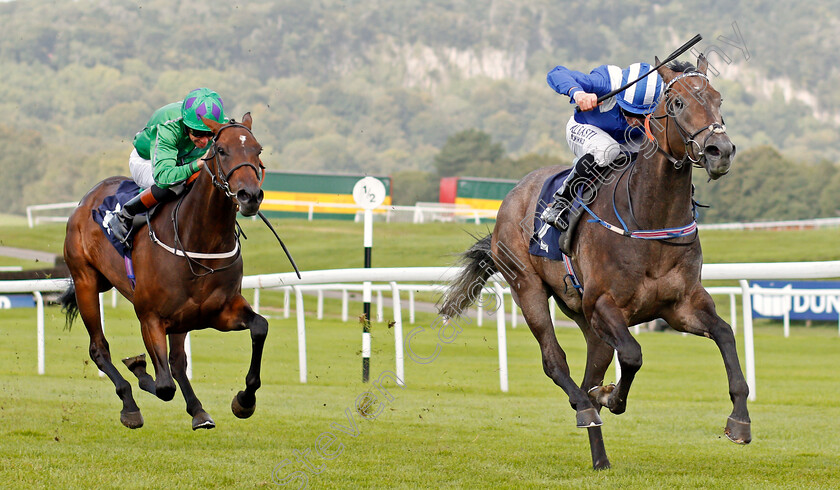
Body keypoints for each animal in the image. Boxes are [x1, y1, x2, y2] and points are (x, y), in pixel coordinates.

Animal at [59, 114, 266, 428]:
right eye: (221, 151)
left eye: (257, 150)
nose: (250, 195)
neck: (200, 240)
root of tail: (87, 199)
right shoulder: (150, 317)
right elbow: (164, 385)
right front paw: (139, 370)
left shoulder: (220, 312)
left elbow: (260, 327)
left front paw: (244, 401)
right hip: (86, 283)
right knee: (99, 348)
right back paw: (130, 404)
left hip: (178, 318)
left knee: (177, 363)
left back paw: (198, 410)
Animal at [436, 55, 752, 468]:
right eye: (678, 102)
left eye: (718, 99)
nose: (720, 150)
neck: (650, 218)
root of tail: (512, 196)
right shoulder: (604, 303)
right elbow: (632, 355)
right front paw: (610, 397)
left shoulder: (681, 305)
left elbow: (725, 334)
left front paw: (739, 420)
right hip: (528, 287)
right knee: (555, 362)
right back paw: (586, 406)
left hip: (585, 317)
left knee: (590, 371)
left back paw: (599, 455)